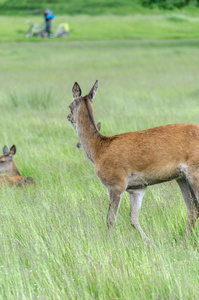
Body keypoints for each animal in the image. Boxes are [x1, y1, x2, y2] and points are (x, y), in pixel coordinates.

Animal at [67, 80, 199, 244]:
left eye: (70, 105)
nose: (68, 116)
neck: (98, 150)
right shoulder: (137, 187)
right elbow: (133, 218)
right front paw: (150, 243)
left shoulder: (116, 182)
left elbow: (110, 219)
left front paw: (108, 243)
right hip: (182, 178)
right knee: (192, 209)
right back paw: (182, 242)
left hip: (194, 171)